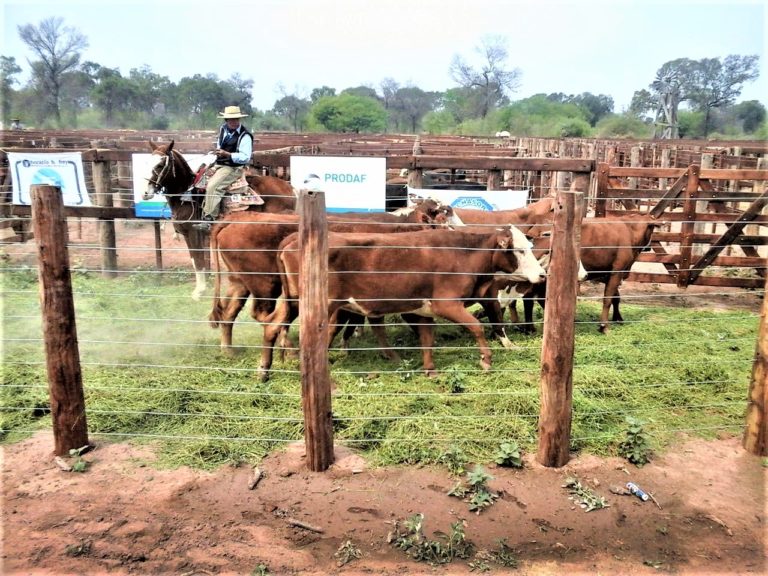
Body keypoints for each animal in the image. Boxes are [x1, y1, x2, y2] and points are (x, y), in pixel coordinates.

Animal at [141, 140, 296, 300]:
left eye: (160, 165)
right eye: (147, 162)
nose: (146, 193)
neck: (187, 195)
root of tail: (291, 189)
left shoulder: (194, 233)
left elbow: (198, 260)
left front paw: (199, 292)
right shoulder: (187, 234)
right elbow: (194, 259)